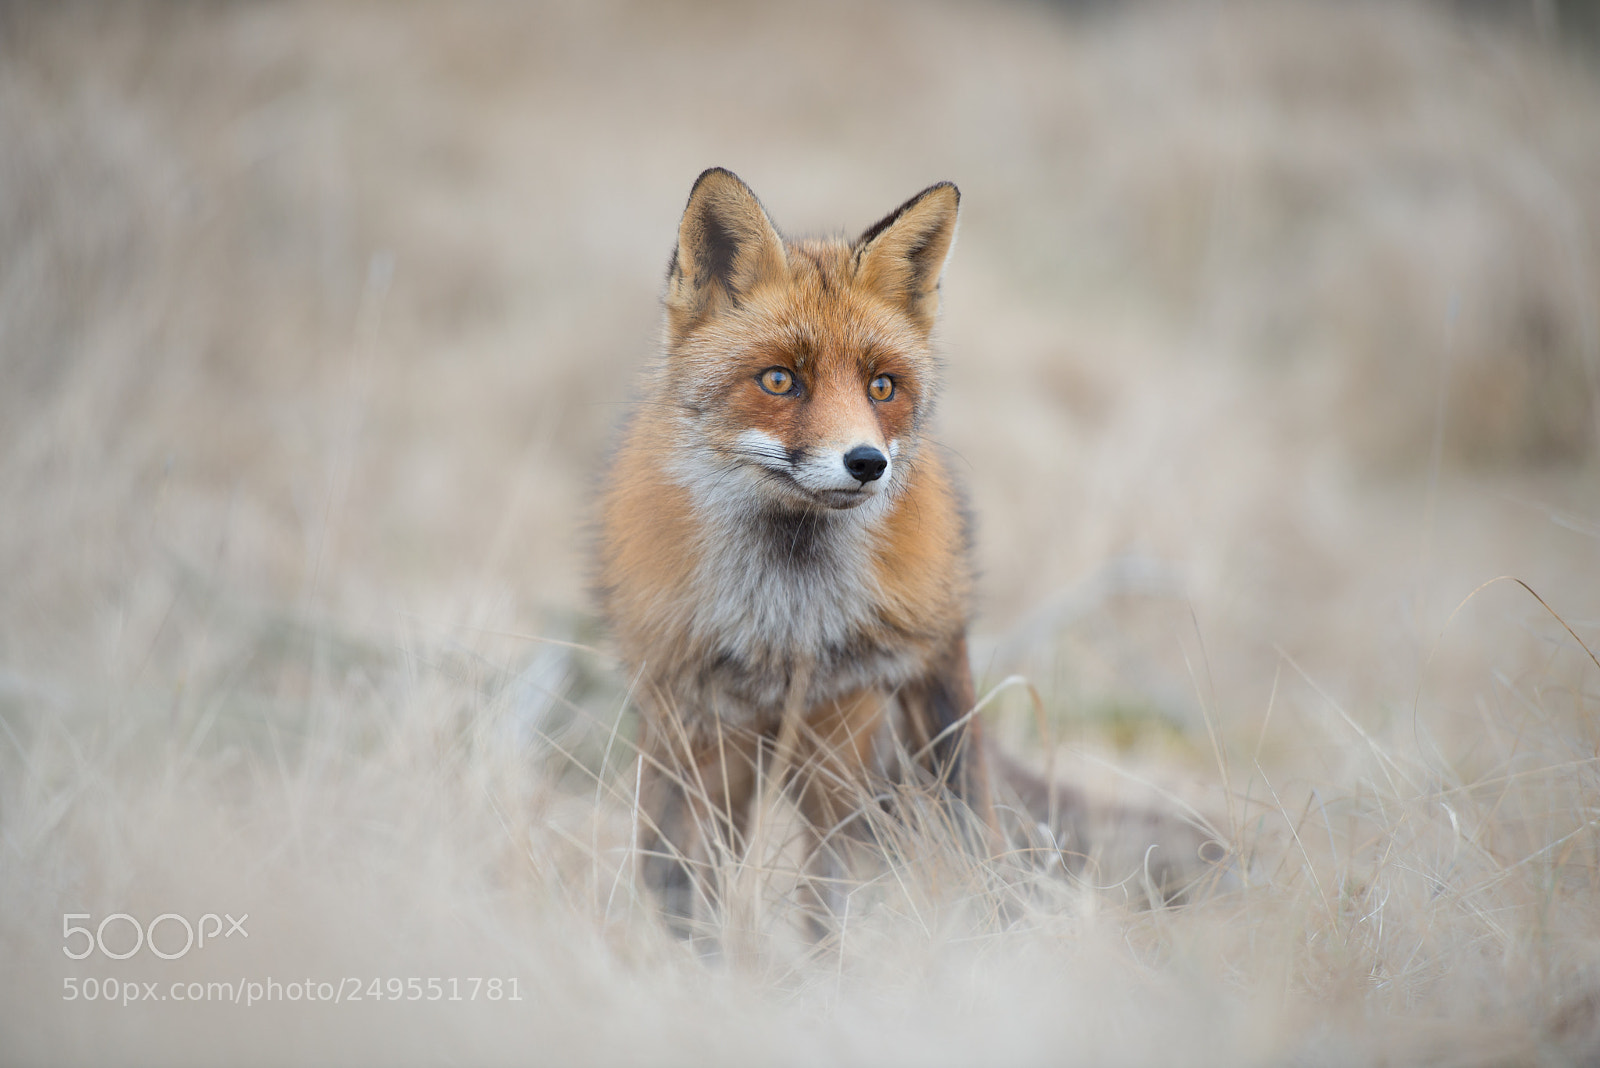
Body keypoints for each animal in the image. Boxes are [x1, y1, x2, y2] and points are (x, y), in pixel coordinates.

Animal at [597, 168, 1219, 936]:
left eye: (881, 387)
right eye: (779, 380)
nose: (867, 462)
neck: (788, 617)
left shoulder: (866, 711)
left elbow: (842, 897)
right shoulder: (705, 728)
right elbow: (689, 893)